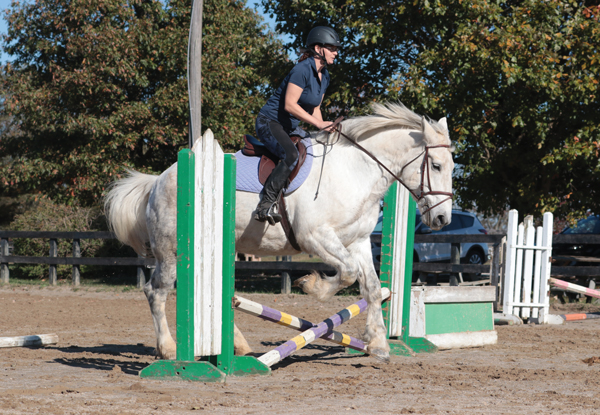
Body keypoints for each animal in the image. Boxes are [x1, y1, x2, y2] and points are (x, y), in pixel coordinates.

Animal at [105, 103, 452, 364]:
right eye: (435, 165)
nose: (442, 218)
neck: (356, 171)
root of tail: (158, 180)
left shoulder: (358, 241)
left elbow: (371, 287)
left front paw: (378, 344)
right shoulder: (315, 236)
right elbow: (348, 274)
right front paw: (312, 286)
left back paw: (237, 346)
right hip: (171, 252)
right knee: (156, 292)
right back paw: (168, 350)